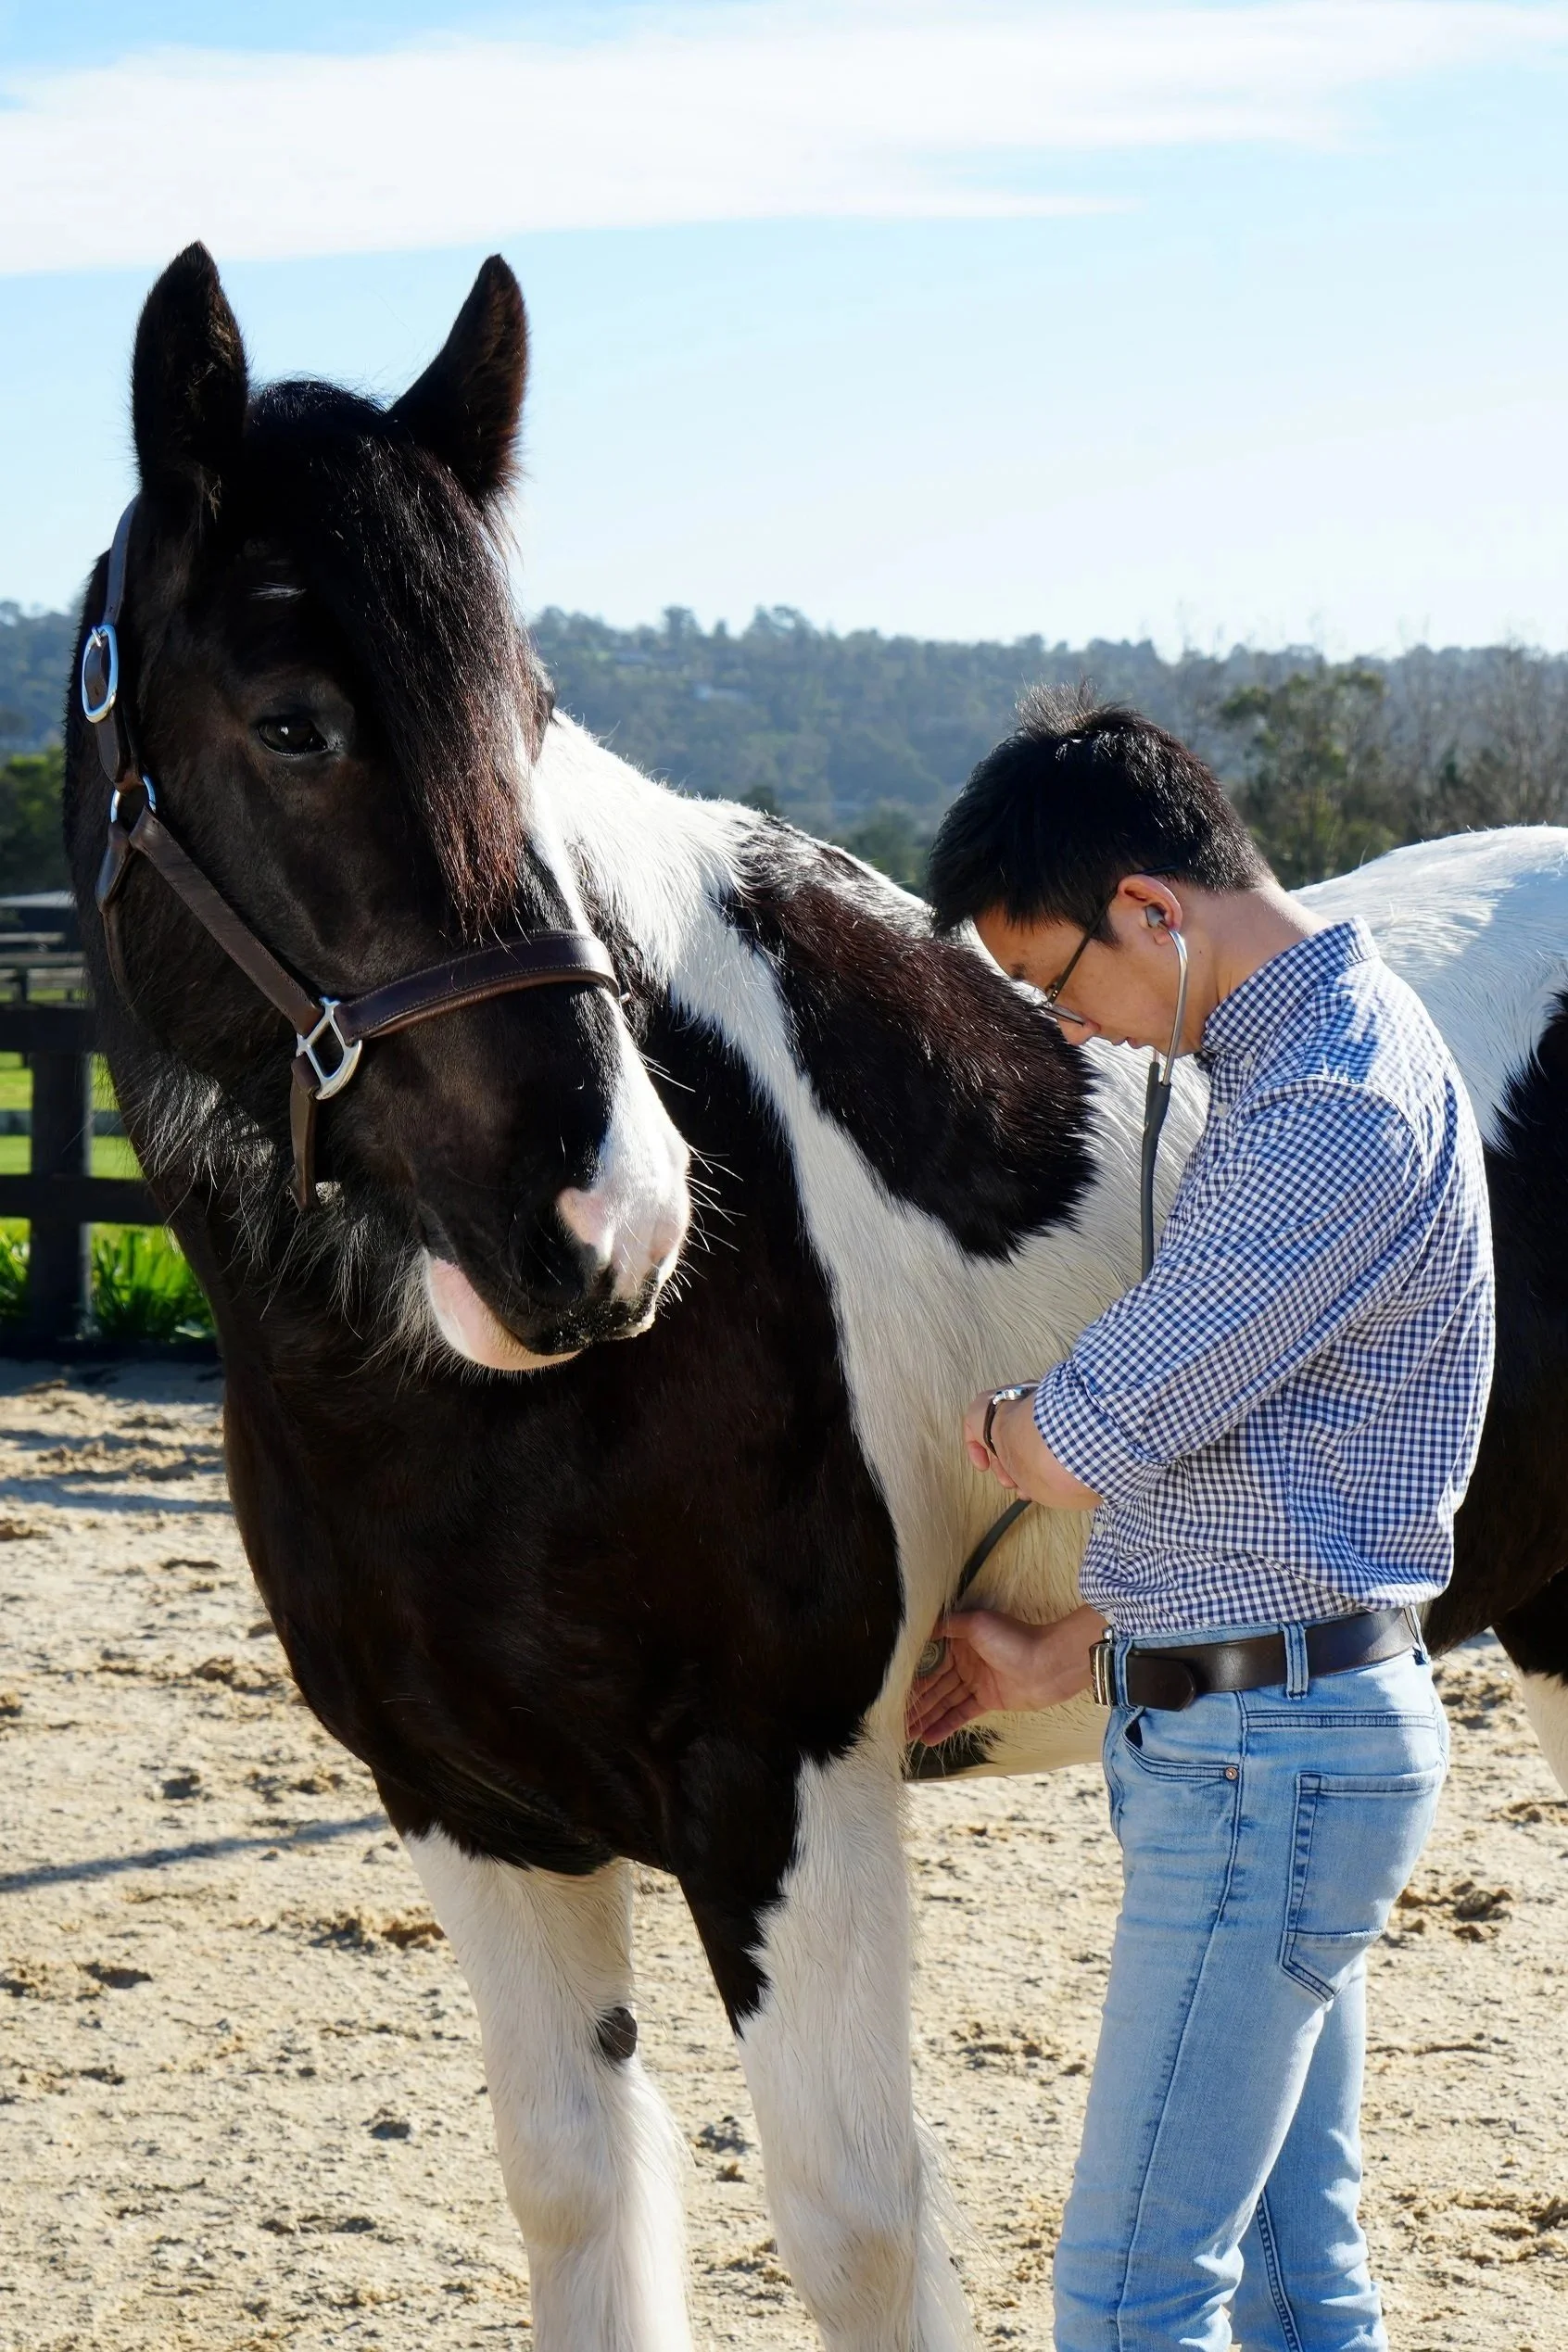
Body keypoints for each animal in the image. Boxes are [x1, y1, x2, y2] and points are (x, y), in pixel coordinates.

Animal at [62, 244, 1568, 2352]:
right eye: (290, 725)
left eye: (528, 715)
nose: (606, 1224)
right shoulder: (470, 1810)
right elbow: (579, 2195)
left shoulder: (785, 1791)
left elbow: (853, 2222)